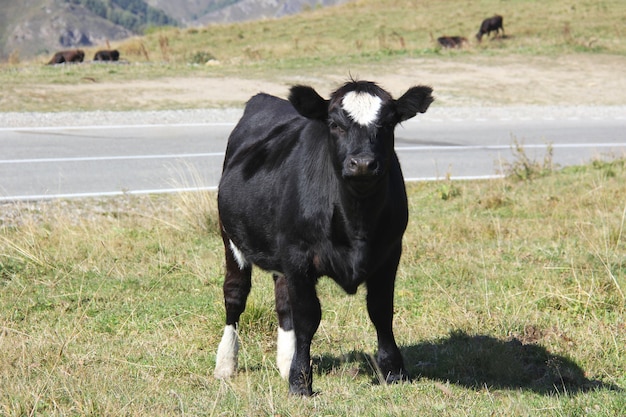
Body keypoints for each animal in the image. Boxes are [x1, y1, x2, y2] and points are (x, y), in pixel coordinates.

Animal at [214, 79, 434, 394]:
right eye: (334, 124)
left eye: (388, 123)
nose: (363, 163)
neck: (357, 221)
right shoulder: (298, 255)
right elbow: (308, 317)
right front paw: (300, 383)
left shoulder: (390, 253)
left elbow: (381, 310)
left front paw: (394, 372)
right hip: (230, 238)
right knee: (235, 296)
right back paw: (225, 364)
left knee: (283, 301)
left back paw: (285, 362)